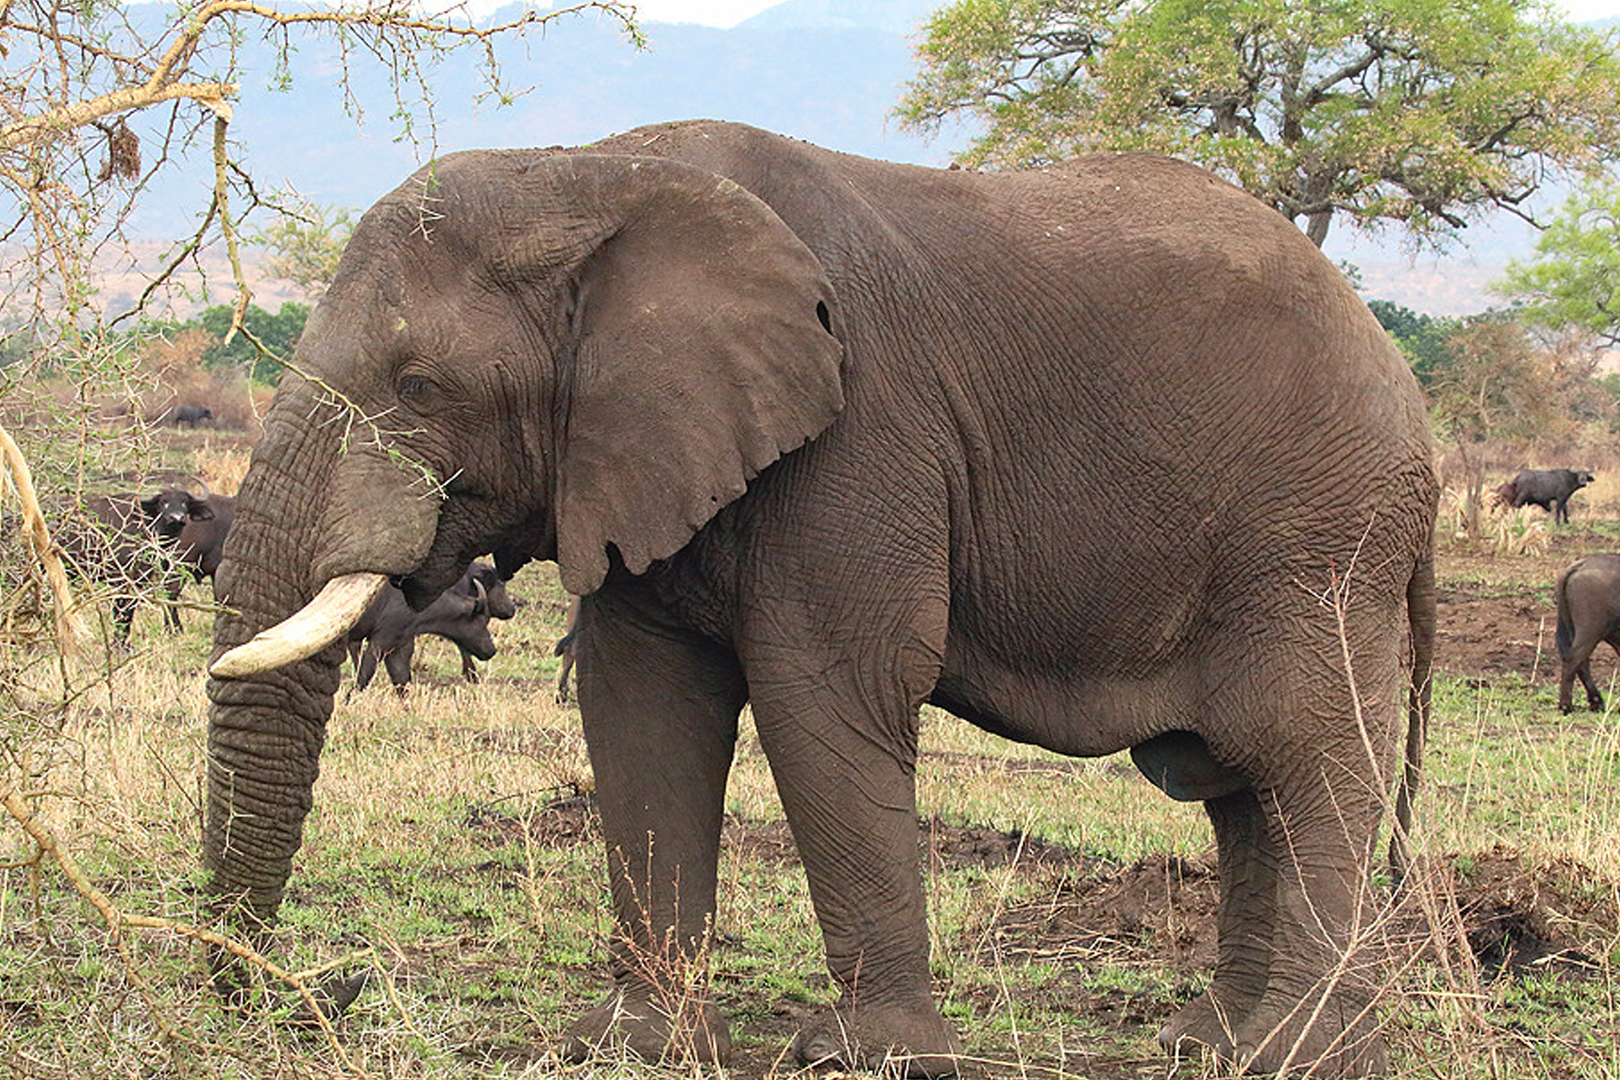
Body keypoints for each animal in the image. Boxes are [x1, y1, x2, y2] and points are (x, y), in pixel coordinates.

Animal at [346, 557, 511, 693]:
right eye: (483, 620)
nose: (492, 650)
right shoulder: (379, 643)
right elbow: (363, 678)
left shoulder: (399, 648)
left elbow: (402, 683)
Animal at [1548, 553, 1620, 712]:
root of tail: (1583, 564)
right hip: (1589, 633)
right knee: (1574, 659)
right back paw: (1566, 706)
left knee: (1581, 663)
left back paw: (1596, 702)